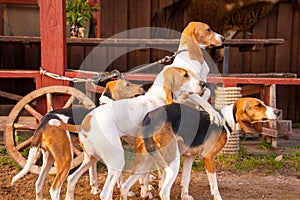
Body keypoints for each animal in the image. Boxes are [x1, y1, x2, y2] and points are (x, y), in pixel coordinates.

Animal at [10, 79, 144, 200]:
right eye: (127, 84)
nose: (142, 88)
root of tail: (44, 120)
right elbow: (118, 176)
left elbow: (93, 172)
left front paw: (95, 189)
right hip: (66, 159)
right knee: (54, 189)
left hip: (48, 158)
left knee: (38, 184)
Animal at [49, 67, 202, 200]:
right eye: (185, 75)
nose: (203, 84)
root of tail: (85, 124)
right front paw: (147, 190)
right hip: (116, 158)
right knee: (105, 193)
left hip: (90, 158)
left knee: (71, 179)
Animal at [120, 97, 282, 199]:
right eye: (258, 105)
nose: (278, 111)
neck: (226, 121)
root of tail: (149, 117)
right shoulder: (208, 158)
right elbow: (214, 185)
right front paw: (218, 197)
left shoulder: (189, 157)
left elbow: (186, 179)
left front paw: (185, 196)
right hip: (172, 162)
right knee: (164, 192)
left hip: (145, 162)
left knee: (125, 187)